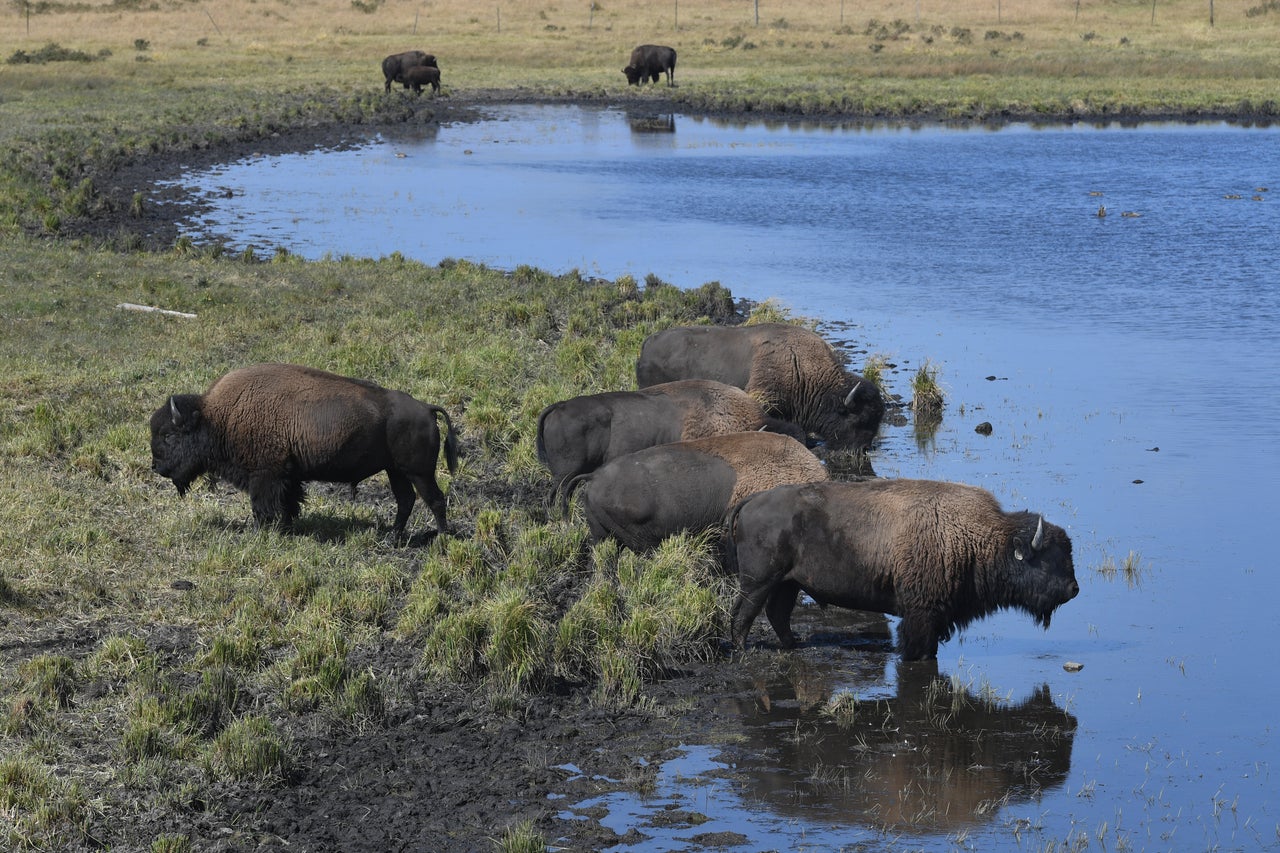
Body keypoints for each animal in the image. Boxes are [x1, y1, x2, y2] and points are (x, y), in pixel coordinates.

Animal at [149, 361, 460, 537]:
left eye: (168, 435)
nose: (156, 466)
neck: (216, 417)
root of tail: (426, 408)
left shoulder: (265, 475)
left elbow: (262, 506)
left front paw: (259, 533)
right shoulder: (288, 476)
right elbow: (289, 502)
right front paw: (287, 529)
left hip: (419, 472)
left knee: (434, 499)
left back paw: (441, 539)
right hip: (396, 471)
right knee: (406, 500)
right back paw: (392, 538)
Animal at [727, 479, 1075, 655]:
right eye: (1050, 560)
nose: (1074, 589)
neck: (977, 537)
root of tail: (752, 500)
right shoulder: (921, 614)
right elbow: (918, 647)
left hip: (788, 582)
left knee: (777, 613)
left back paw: (792, 644)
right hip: (759, 581)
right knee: (743, 614)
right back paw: (743, 650)